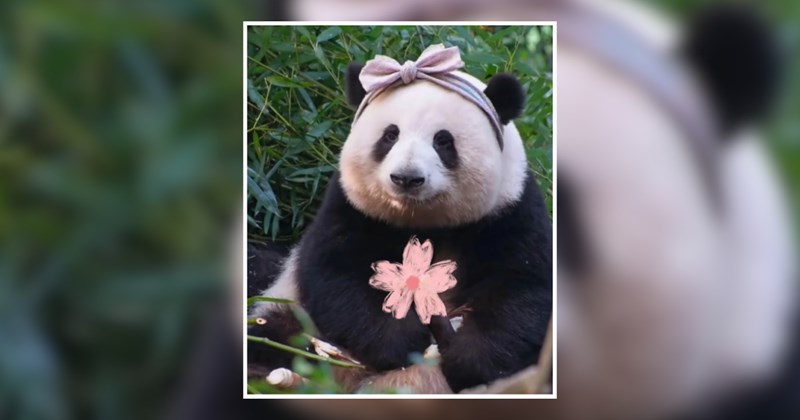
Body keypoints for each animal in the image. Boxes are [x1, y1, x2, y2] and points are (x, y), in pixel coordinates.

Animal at [248, 49, 553, 393]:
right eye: (390, 135)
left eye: (443, 141)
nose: (407, 178)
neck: (424, 221)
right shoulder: (351, 208)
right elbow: (338, 275)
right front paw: (402, 338)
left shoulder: (509, 210)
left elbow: (523, 289)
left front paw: (467, 357)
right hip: (290, 314)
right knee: (275, 334)